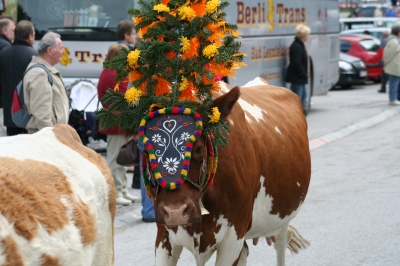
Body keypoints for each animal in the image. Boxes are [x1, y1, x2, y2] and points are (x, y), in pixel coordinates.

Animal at [145, 77, 312, 264]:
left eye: (199, 148)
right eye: (146, 149)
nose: (175, 212)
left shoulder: (233, 237)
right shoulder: (163, 235)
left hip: (282, 218)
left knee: (281, 246)